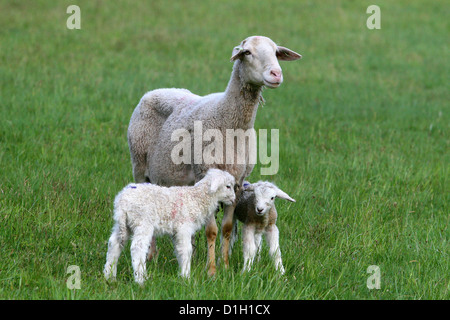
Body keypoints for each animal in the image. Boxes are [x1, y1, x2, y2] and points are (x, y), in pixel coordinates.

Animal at [102, 169, 236, 284]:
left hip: (124, 224)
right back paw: (141, 280)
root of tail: (122, 202)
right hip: (142, 222)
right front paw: (186, 277)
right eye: (228, 186)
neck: (197, 198)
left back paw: (109, 276)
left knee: (114, 244)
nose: (234, 200)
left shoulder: (176, 232)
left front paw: (182, 273)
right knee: (137, 248)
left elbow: (179, 250)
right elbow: (186, 250)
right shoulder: (183, 227)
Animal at [127, 35, 302, 276]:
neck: (230, 121)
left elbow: (227, 229)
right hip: (139, 164)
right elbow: (211, 230)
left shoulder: (237, 182)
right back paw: (151, 255)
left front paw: (225, 266)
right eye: (247, 52)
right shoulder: (205, 176)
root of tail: (153, 91)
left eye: (276, 52)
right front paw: (211, 271)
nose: (276, 74)